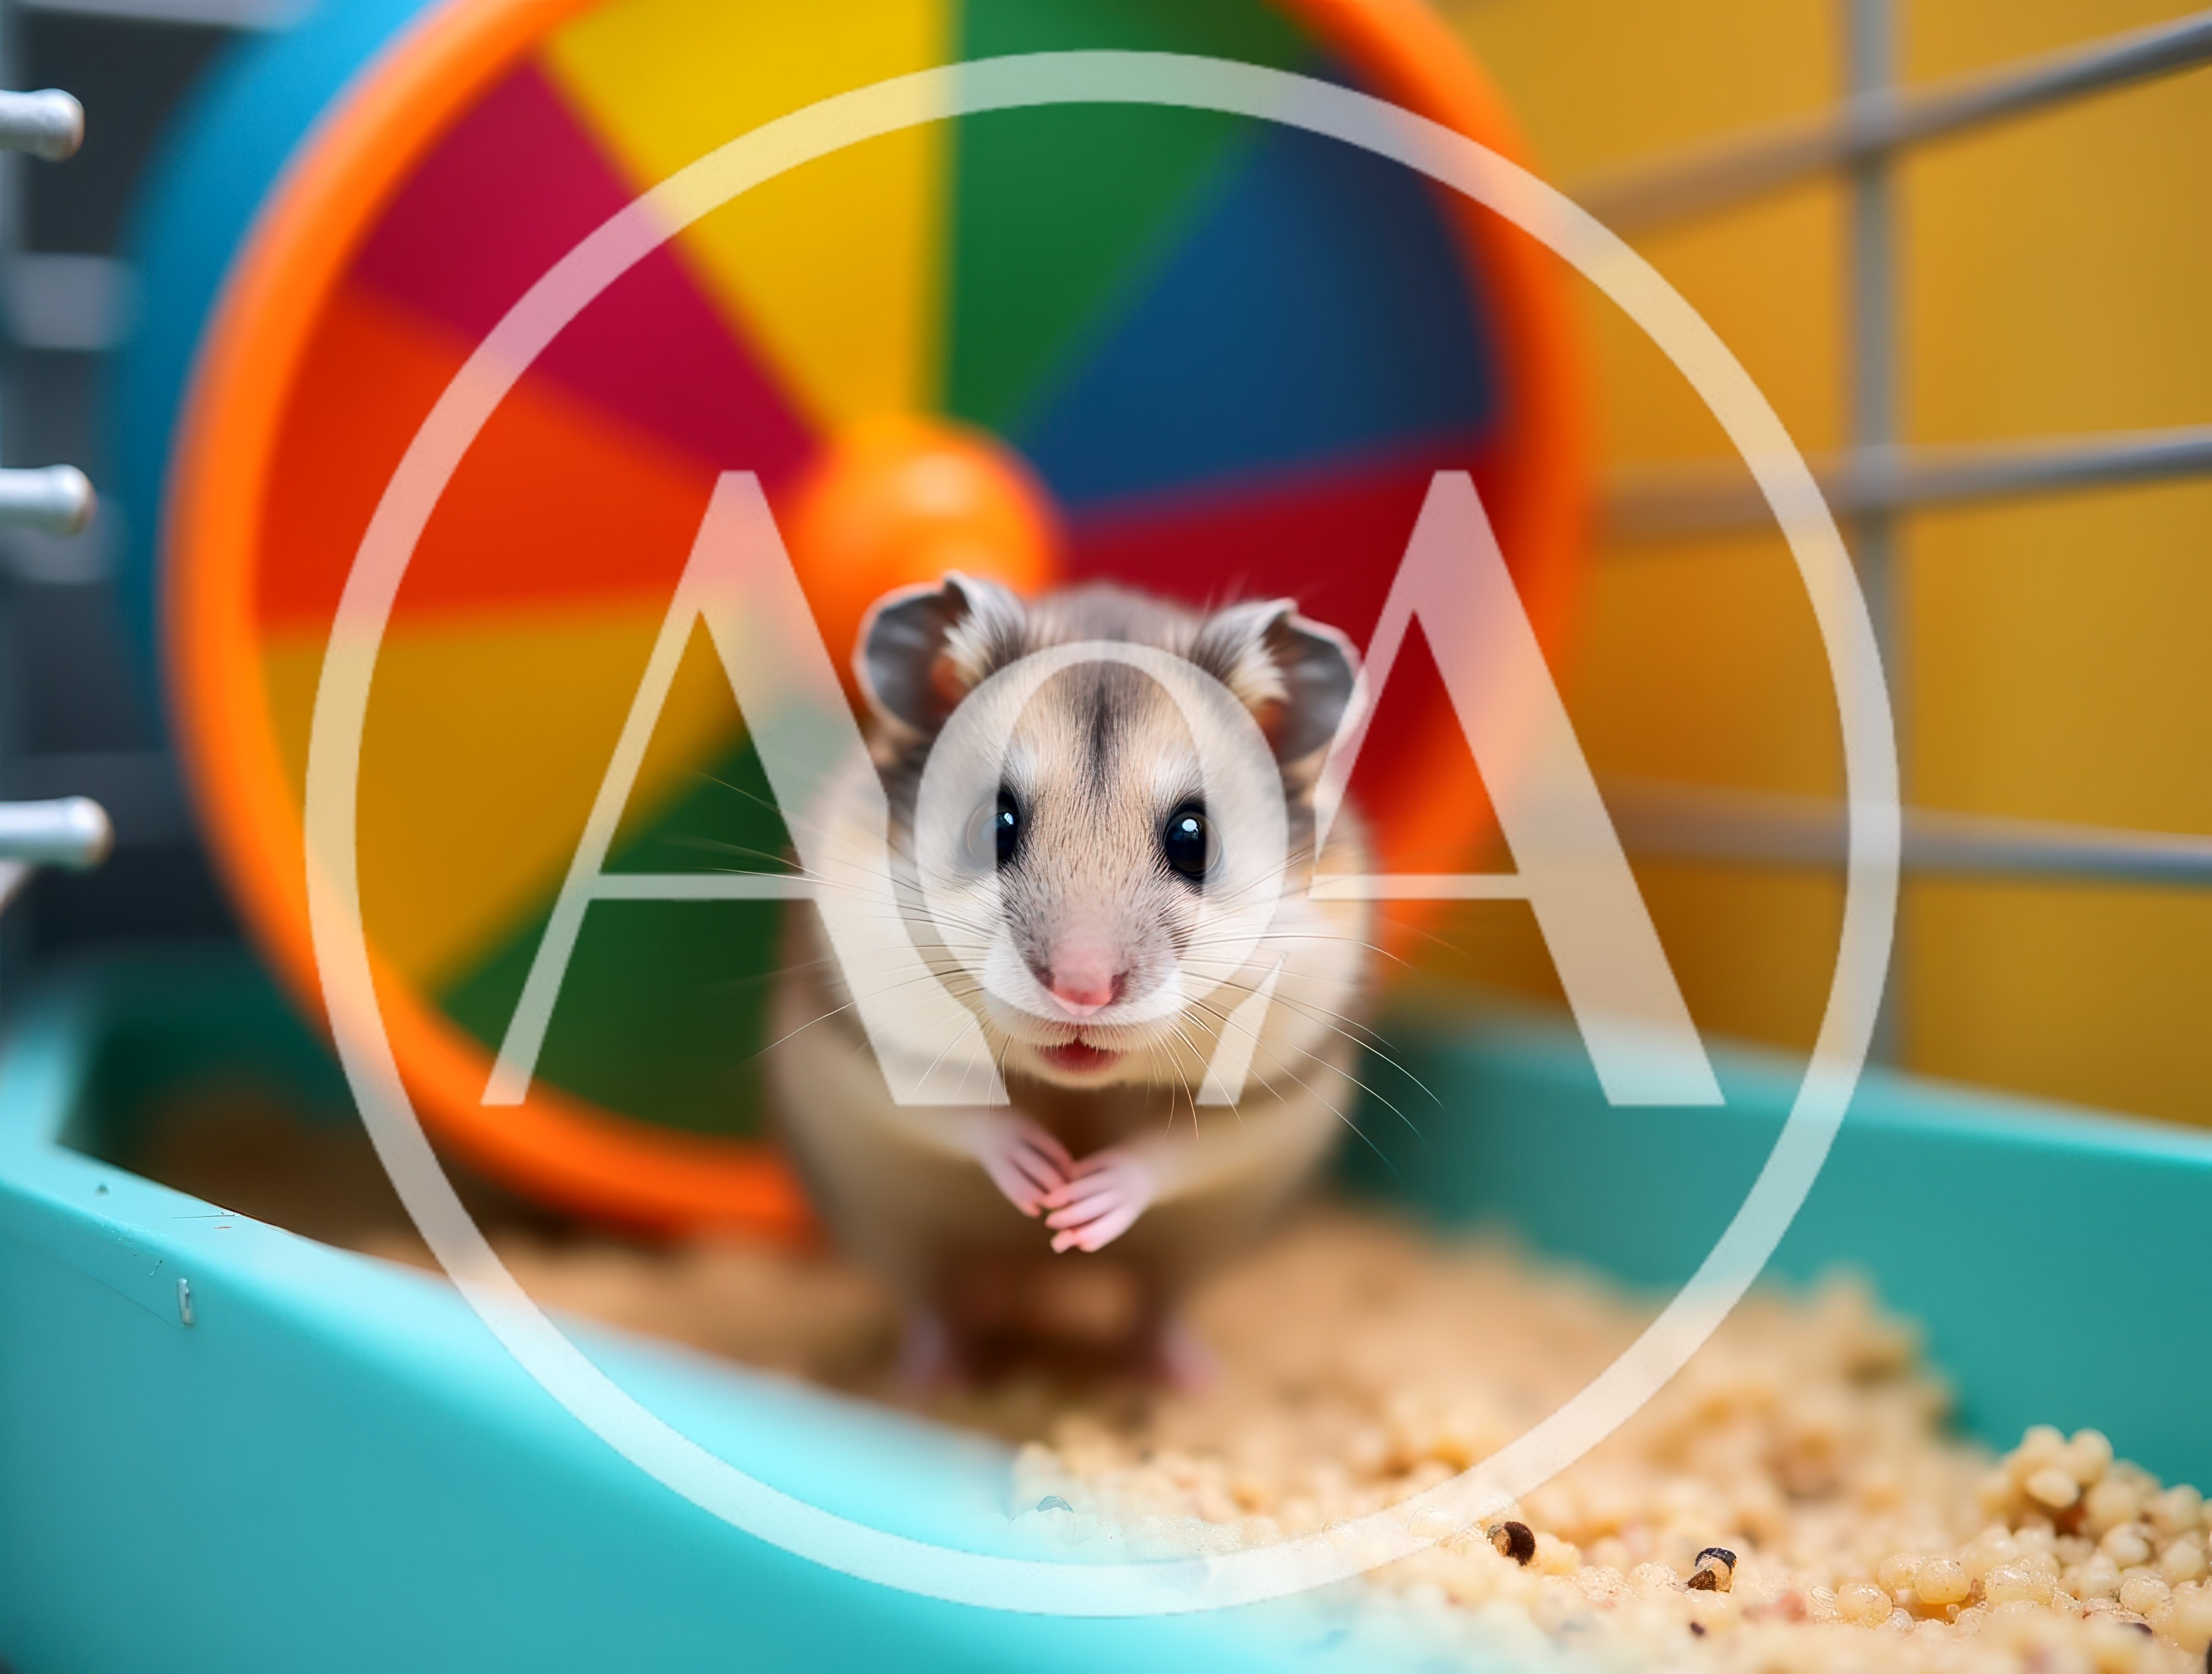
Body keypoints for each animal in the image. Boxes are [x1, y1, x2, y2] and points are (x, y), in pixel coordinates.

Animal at [768, 574, 1375, 1381]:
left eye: (1195, 839)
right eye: (990, 826)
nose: (1081, 992)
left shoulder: (1270, 1089)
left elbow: (1175, 1153)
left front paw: (1079, 1204)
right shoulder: (867, 1046)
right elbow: (956, 1110)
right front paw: (1041, 1177)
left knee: (1156, 1305)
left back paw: (1192, 1377)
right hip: (889, 1228)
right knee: (934, 1304)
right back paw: (927, 1375)